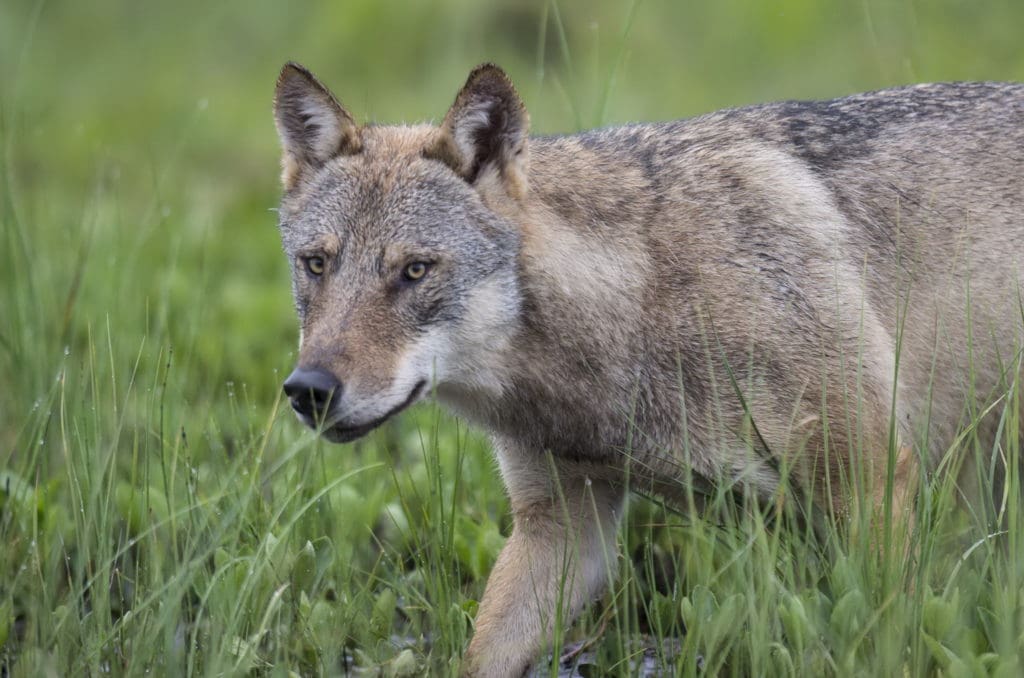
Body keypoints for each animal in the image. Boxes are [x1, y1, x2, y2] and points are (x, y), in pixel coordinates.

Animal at [272, 61, 1024, 675]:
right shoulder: (562, 527)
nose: (308, 391)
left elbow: (888, 640)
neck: (640, 298)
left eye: (414, 271)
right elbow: (482, 656)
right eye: (316, 264)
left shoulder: (872, 483)